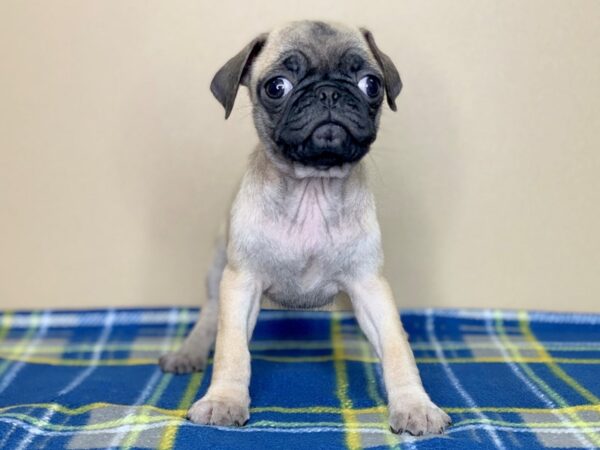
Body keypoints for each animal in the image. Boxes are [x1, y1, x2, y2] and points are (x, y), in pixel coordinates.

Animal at [159, 19, 450, 434]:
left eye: (371, 85)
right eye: (277, 87)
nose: (328, 92)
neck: (313, 187)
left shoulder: (369, 285)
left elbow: (396, 346)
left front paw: (414, 405)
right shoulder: (242, 282)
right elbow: (233, 348)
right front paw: (224, 400)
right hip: (217, 271)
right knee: (210, 316)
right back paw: (189, 353)